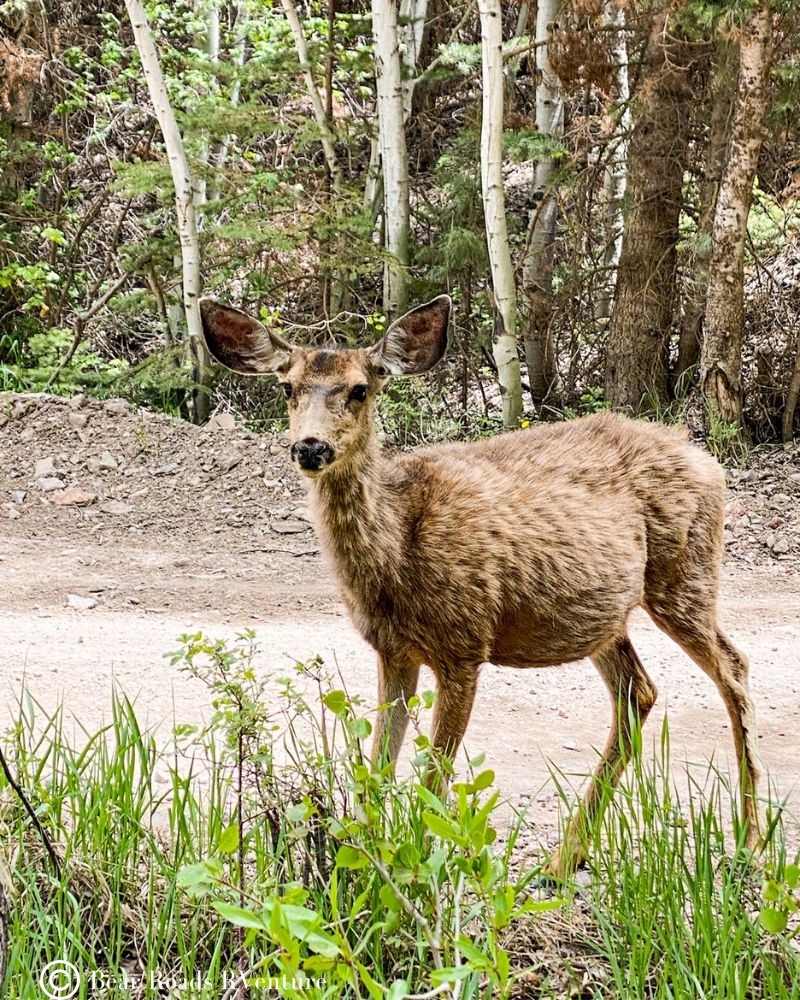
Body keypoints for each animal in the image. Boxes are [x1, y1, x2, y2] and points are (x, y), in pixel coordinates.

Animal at [199, 293, 762, 878]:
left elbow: (433, 782)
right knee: (639, 692)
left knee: (733, 667)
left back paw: (749, 842)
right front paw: (362, 869)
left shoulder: (464, 643)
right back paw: (567, 857)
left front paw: (414, 879)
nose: (311, 447)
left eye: (359, 389)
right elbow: (377, 769)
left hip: (685, 571)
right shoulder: (393, 650)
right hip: (604, 614)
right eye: (287, 387)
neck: (399, 549)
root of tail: (708, 460)